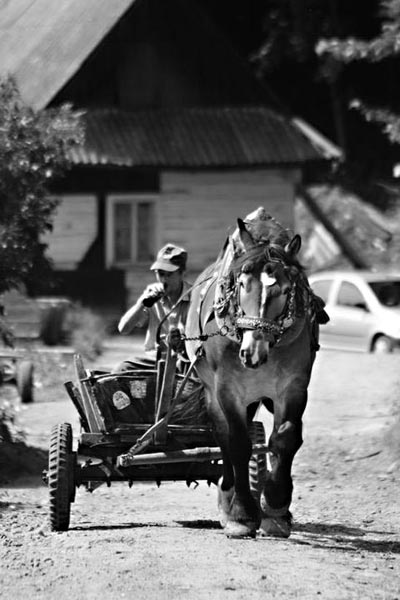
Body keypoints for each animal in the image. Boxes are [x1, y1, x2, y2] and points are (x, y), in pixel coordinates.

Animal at [186, 207, 326, 540]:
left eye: (287, 290)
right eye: (241, 284)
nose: (252, 352)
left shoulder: (294, 386)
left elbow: (285, 437)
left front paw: (275, 507)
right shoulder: (227, 388)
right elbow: (237, 443)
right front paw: (241, 514)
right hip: (213, 392)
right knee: (223, 437)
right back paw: (227, 499)